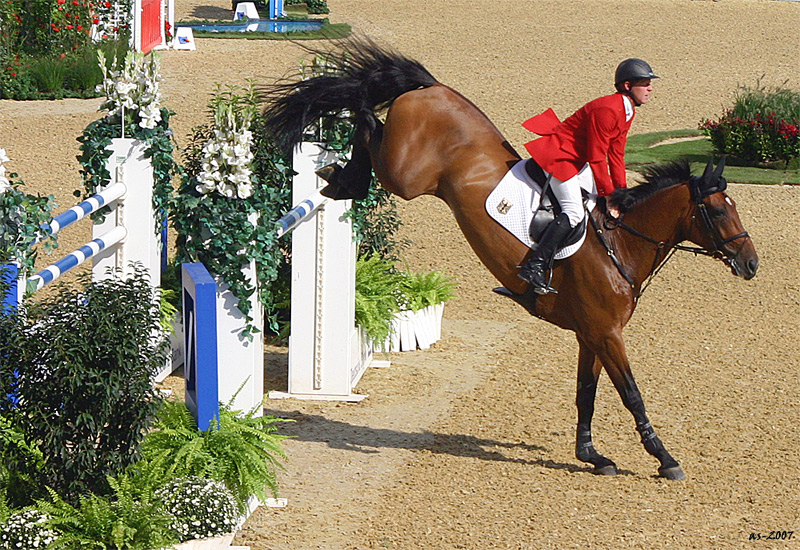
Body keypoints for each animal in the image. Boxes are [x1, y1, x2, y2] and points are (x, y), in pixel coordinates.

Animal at [260, 36, 756, 480]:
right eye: (717, 211)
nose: (751, 263)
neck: (622, 246)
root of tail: (433, 87)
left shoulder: (591, 334)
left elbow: (587, 393)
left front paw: (592, 456)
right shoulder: (607, 333)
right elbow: (631, 394)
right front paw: (665, 459)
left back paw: (341, 177)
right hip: (408, 174)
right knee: (369, 128)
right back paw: (345, 160)